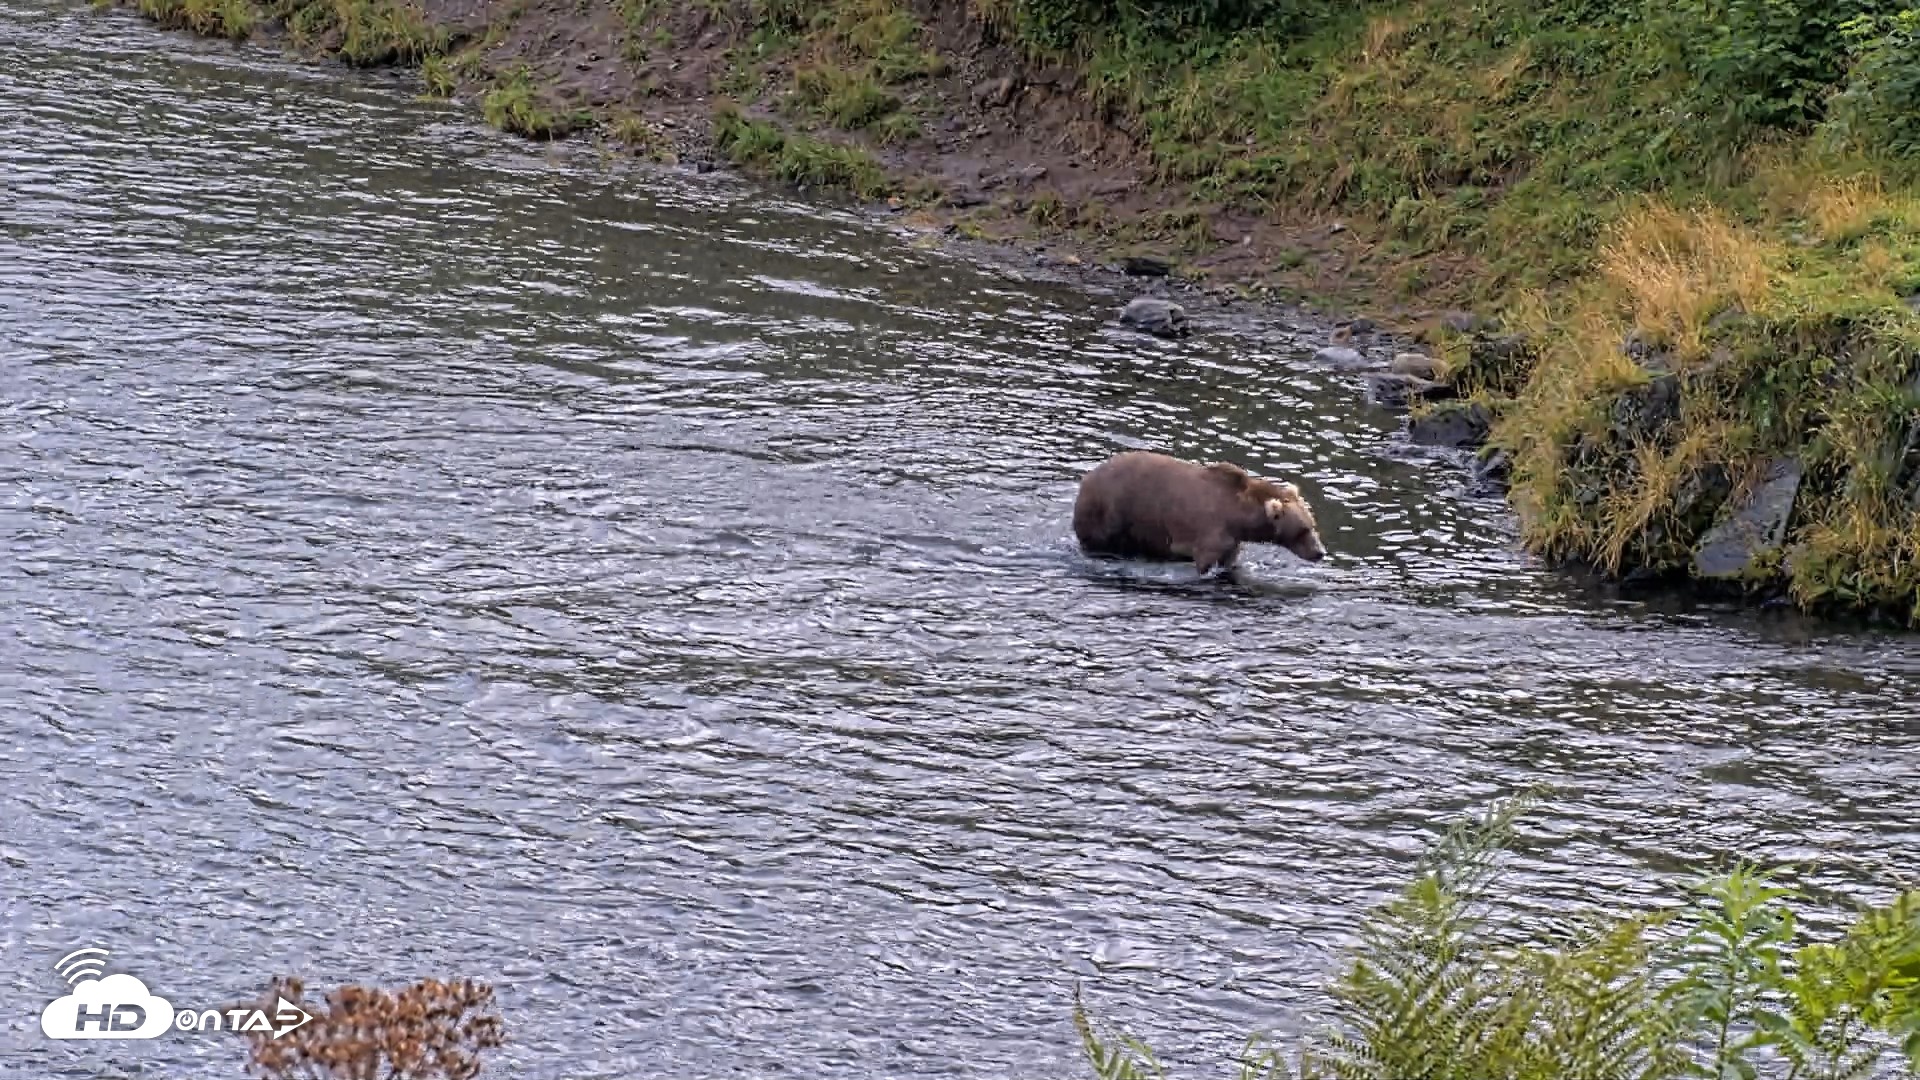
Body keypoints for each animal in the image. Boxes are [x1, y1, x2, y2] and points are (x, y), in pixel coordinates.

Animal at [1071, 450, 1328, 575]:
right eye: (1303, 530)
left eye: (1312, 524)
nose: (1320, 552)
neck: (1239, 515)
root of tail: (1086, 478)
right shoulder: (1210, 530)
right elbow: (1204, 560)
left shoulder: (1232, 540)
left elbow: (1229, 560)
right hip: (1109, 512)